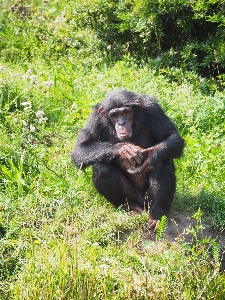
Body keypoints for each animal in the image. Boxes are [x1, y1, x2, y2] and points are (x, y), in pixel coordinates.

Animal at [72, 88, 185, 227]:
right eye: (115, 115)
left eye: (126, 112)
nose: (121, 123)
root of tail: (142, 204)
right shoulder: (95, 119)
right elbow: (80, 149)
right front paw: (124, 149)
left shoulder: (153, 109)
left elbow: (172, 136)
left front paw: (152, 156)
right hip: (133, 196)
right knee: (101, 167)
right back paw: (129, 207)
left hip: (148, 199)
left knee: (164, 161)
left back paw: (157, 213)